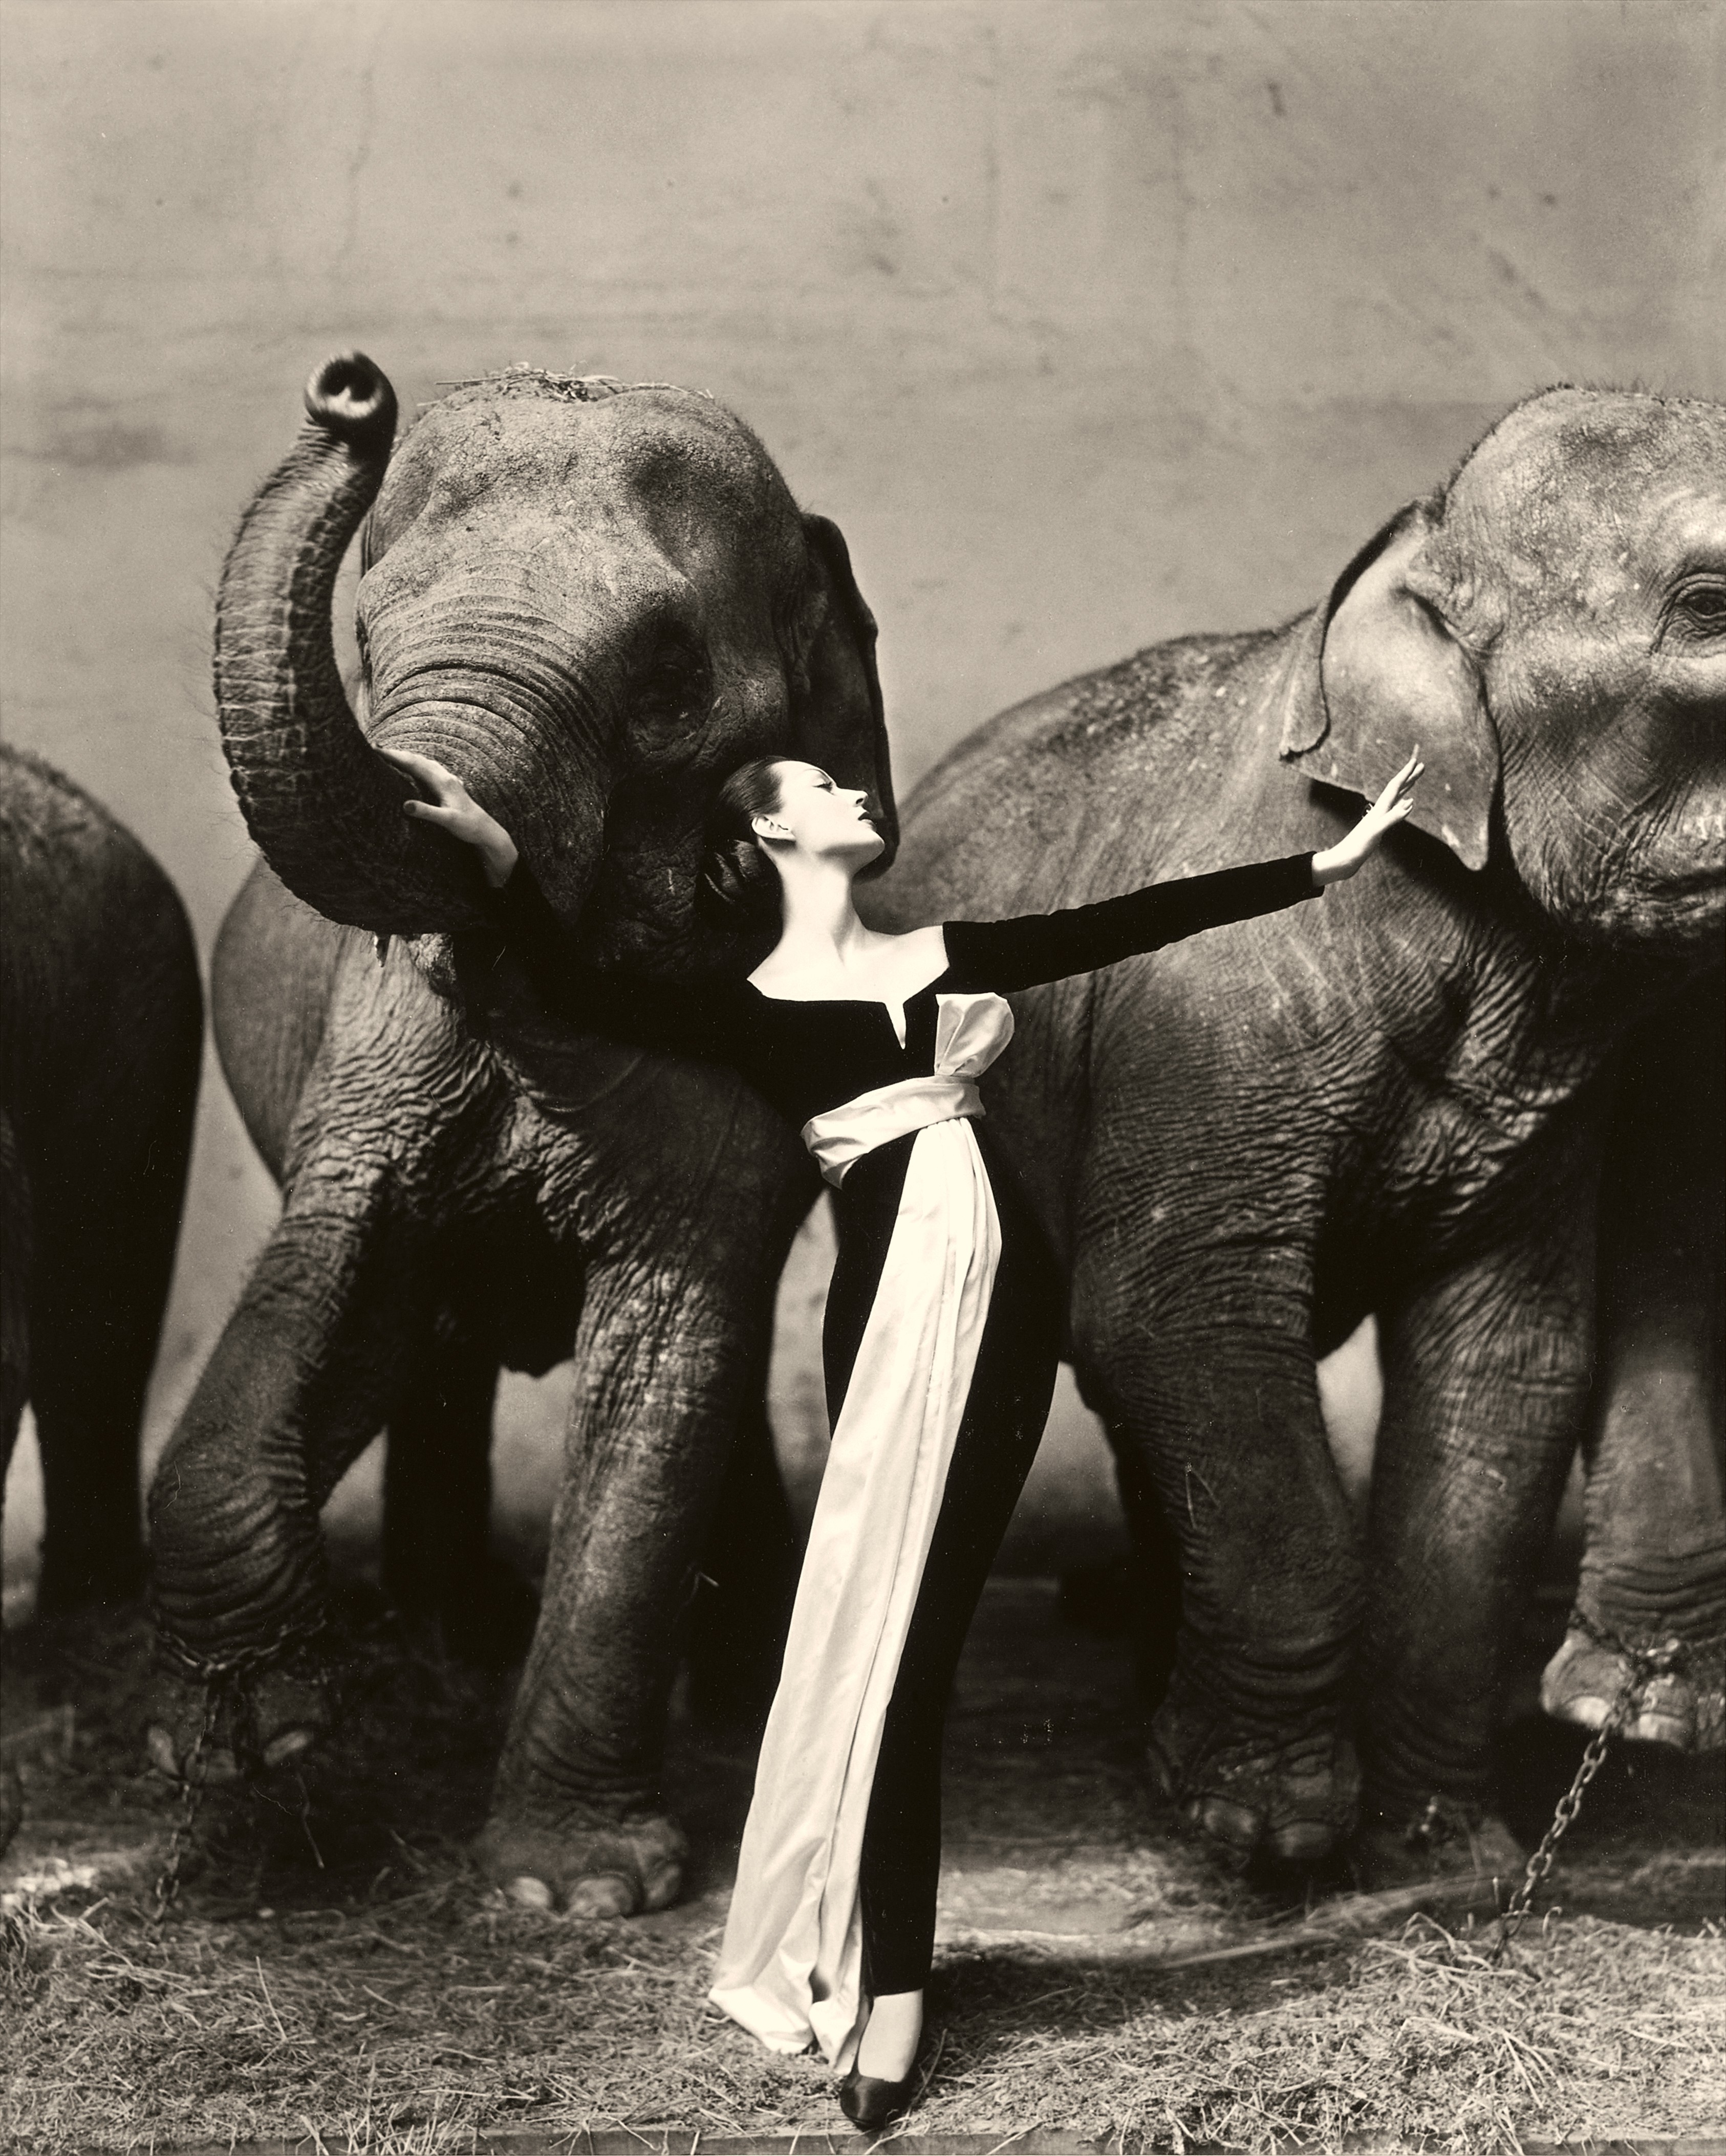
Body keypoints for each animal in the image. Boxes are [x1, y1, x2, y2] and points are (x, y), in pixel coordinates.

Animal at [143, 354, 895, 1914]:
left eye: (666, 677)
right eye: (367, 637)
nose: (350, 389)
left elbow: (675, 1331)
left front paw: (569, 1893)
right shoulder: (373, 1050)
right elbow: (345, 1265)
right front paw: (253, 1741)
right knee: (433, 1348)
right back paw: (456, 1632)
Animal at [871, 387, 1726, 1879]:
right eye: (1708, 605)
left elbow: (1503, 1362)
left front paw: (1443, 1854)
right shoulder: (1204, 1023)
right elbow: (1175, 1313)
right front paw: (1260, 1828)